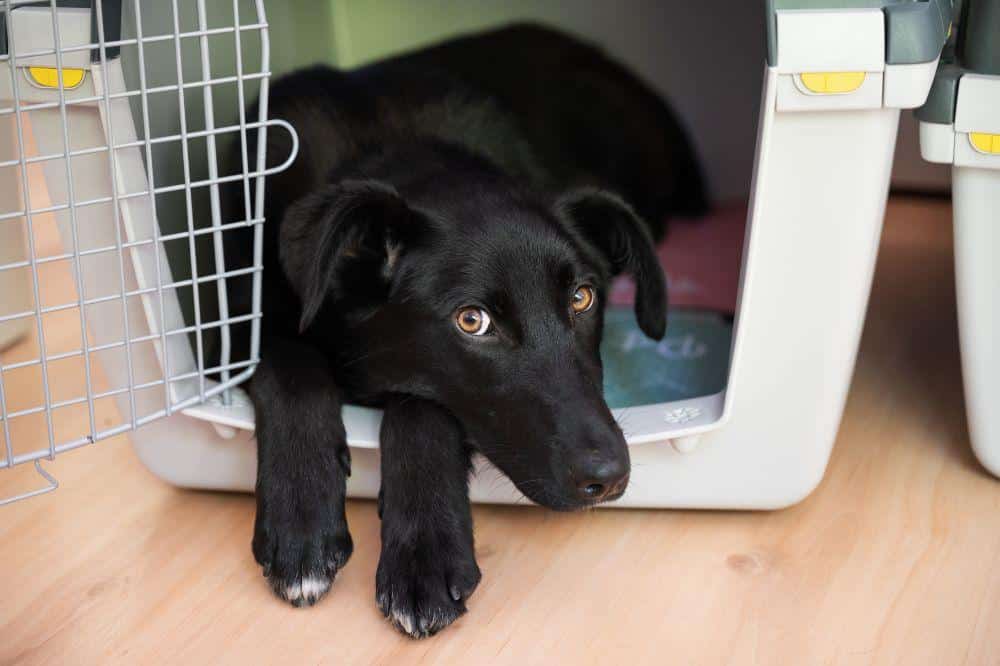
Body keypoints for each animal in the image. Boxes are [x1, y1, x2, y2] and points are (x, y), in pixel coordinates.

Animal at [226, 23, 704, 636]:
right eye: (472, 321)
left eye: (582, 297)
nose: (610, 475)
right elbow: (289, 365)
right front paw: (302, 518)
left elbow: (422, 407)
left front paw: (424, 557)